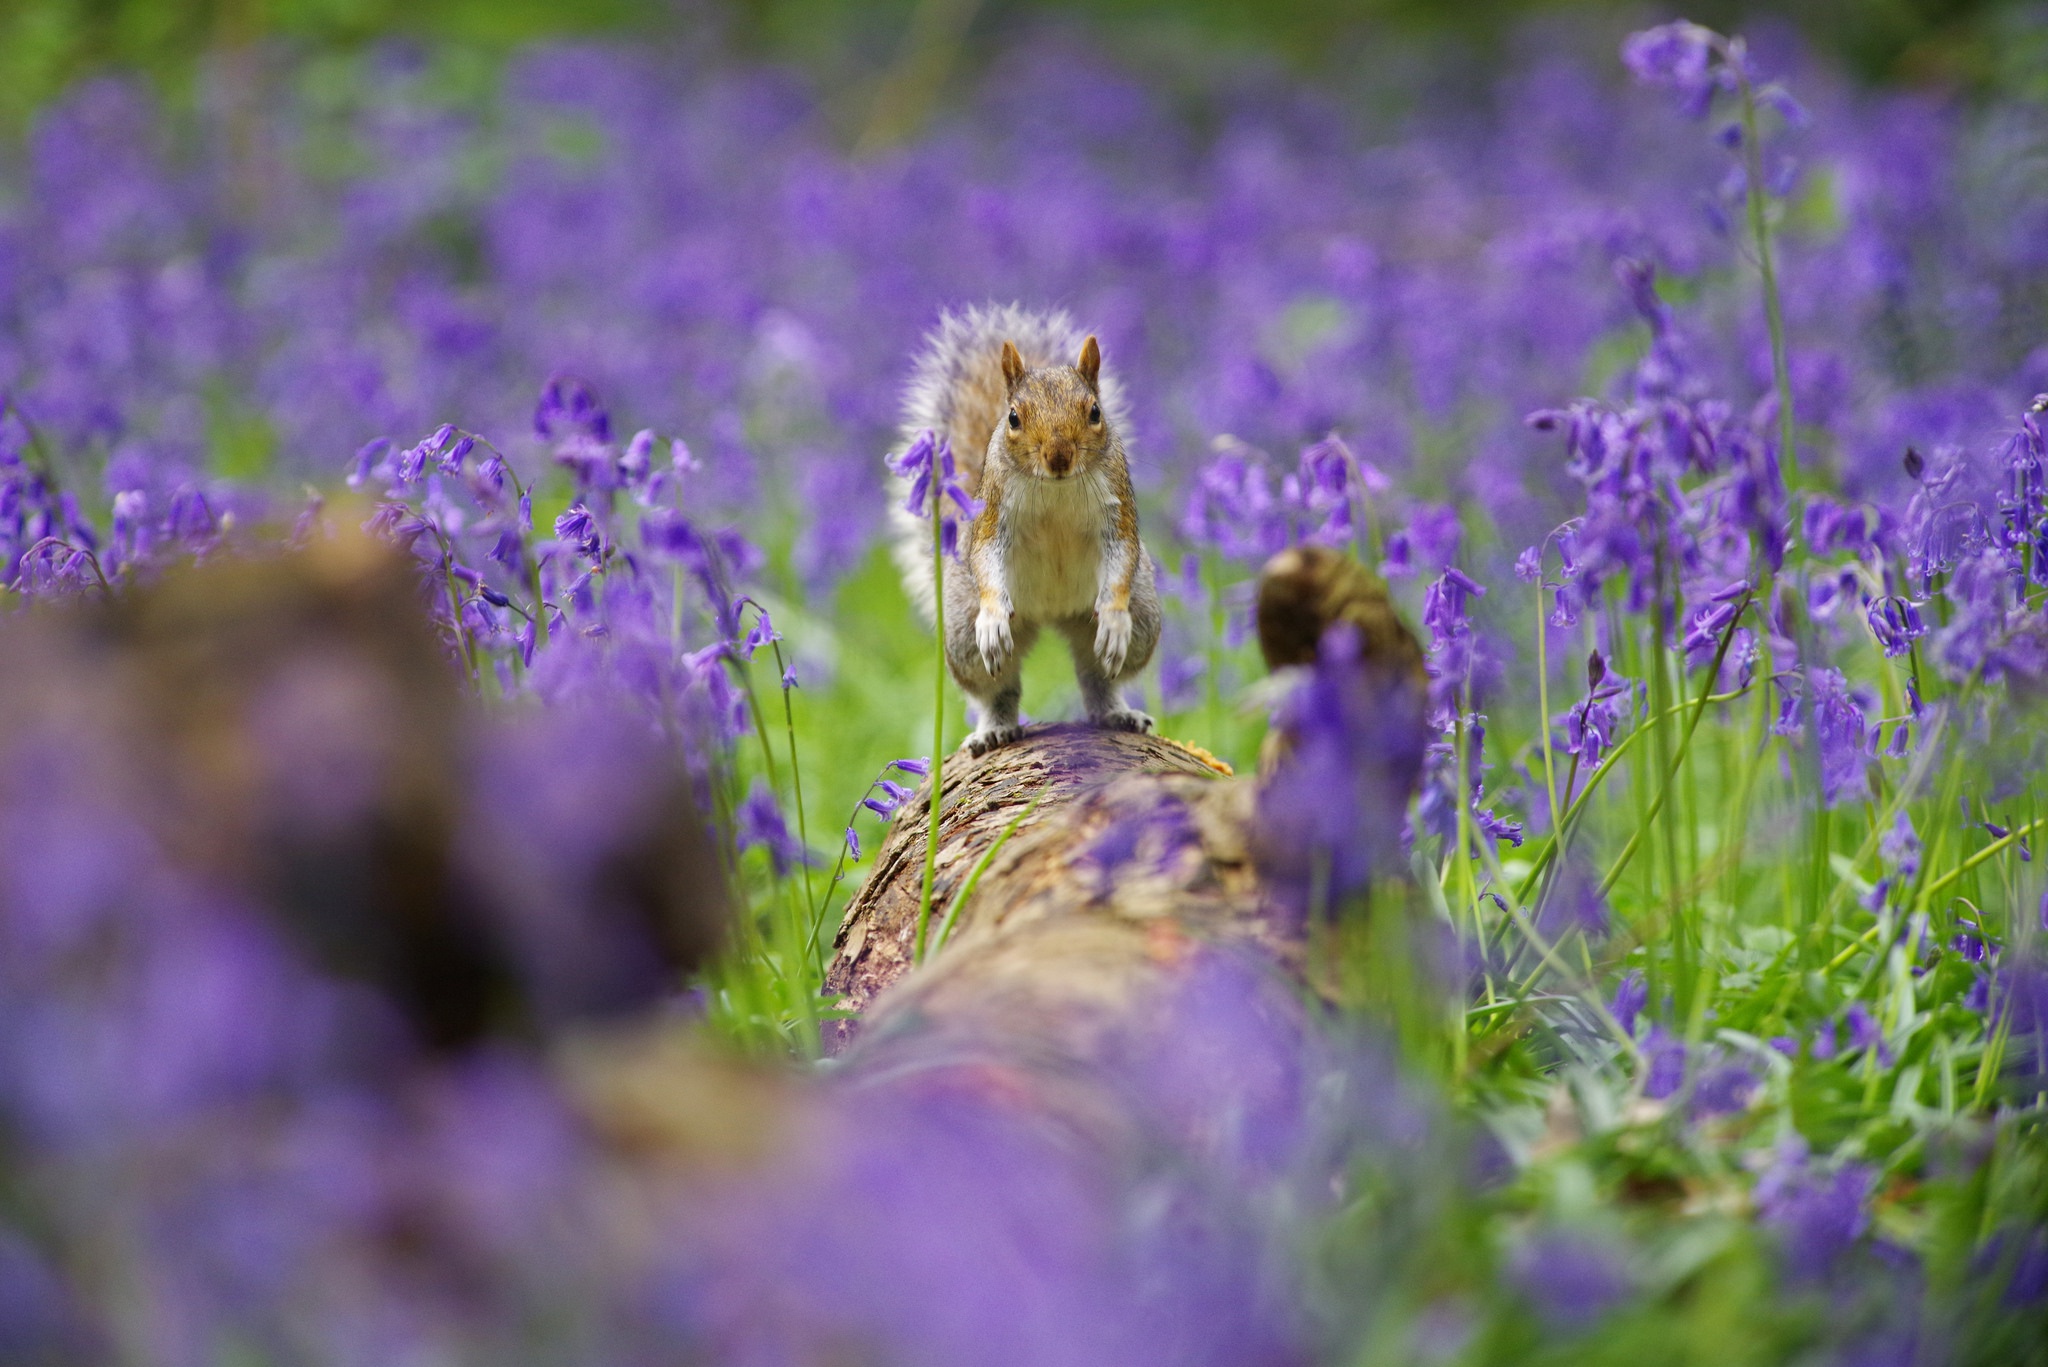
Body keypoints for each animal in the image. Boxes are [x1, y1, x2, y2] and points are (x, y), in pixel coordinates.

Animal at [888, 305, 1163, 758]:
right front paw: (993, 617)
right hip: (963, 635)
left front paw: (1114, 618)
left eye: (1095, 412)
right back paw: (994, 729)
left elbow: (1122, 557)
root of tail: (1052, 614)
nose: (1058, 457)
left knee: (1097, 675)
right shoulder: (993, 515)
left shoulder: (1117, 510)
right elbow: (985, 558)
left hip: (1142, 618)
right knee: (997, 690)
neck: (1056, 487)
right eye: (1014, 417)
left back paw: (1116, 712)